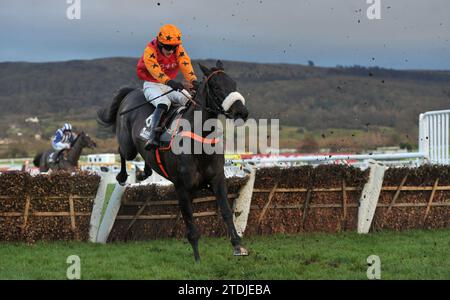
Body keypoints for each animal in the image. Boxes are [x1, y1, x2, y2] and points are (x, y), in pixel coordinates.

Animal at [97, 60, 250, 260]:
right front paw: (197, 258)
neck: (199, 142)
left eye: (234, 84)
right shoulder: (182, 188)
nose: (242, 112)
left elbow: (225, 211)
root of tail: (131, 92)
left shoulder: (217, 180)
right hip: (128, 144)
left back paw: (145, 170)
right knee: (122, 151)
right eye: (216, 86)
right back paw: (123, 176)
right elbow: (189, 220)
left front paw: (238, 246)